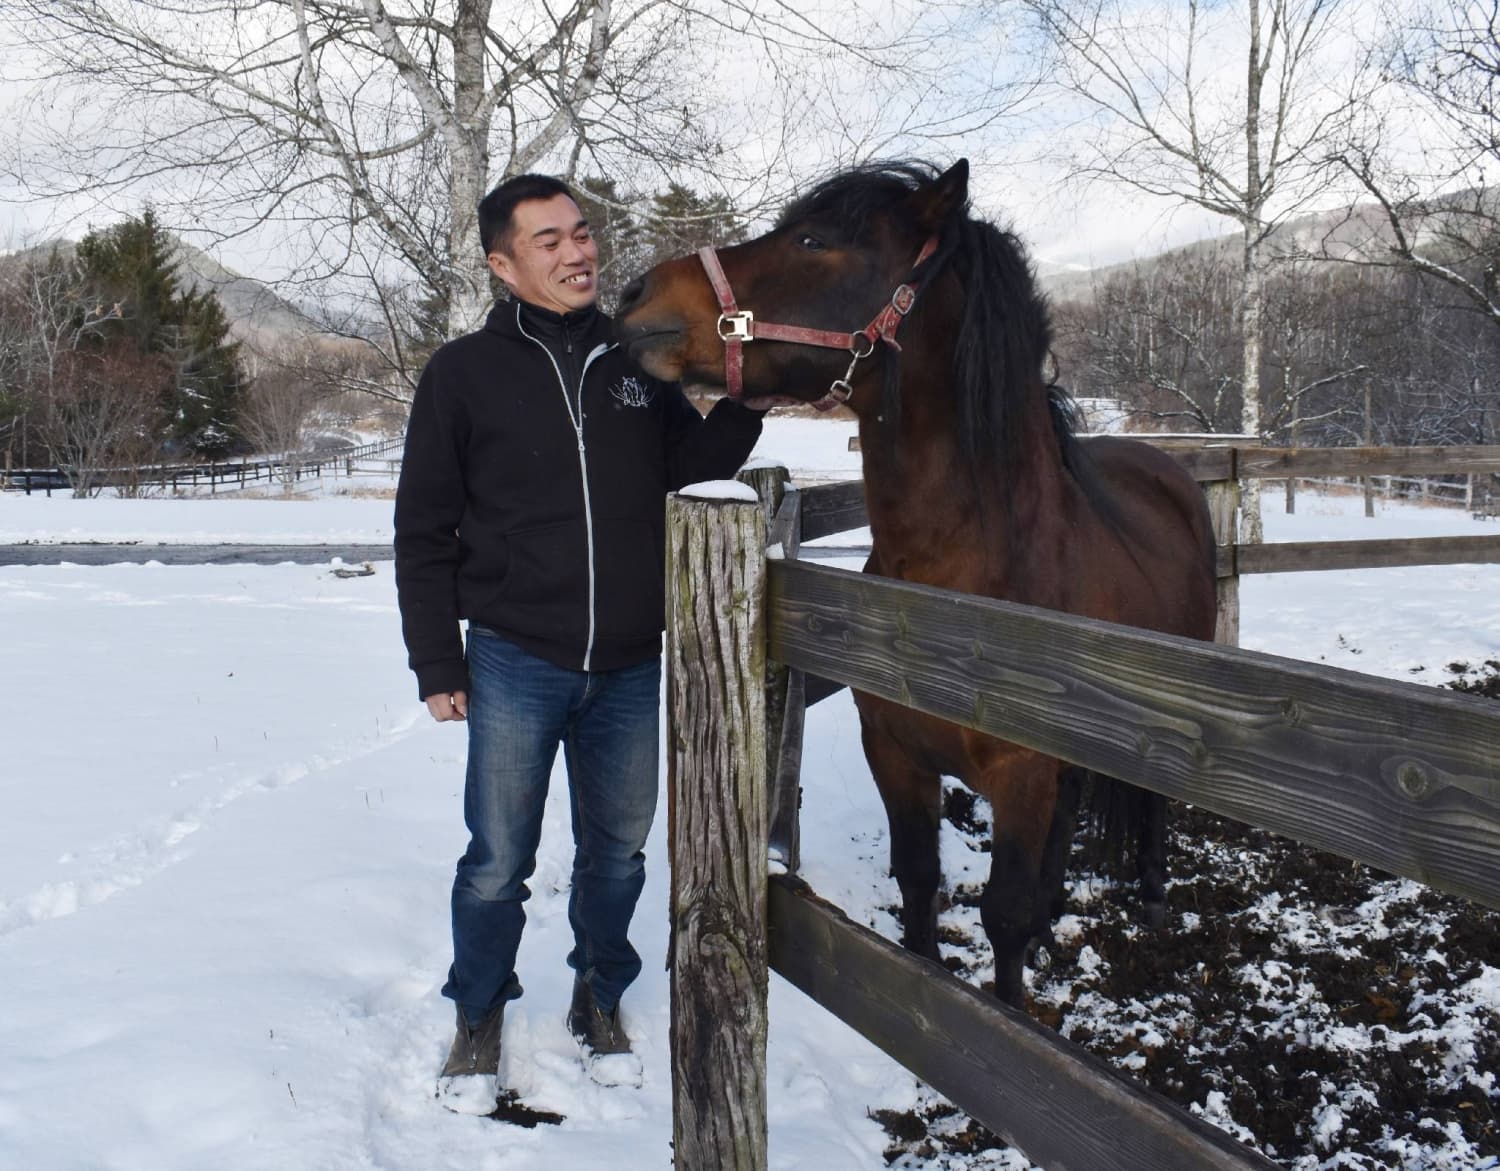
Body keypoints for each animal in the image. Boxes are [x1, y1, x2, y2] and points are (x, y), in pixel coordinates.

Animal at [614, 159, 1218, 1006]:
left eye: (814, 241)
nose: (635, 295)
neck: (955, 590)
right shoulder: (897, 755)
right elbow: (921, 885)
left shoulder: (1021, 774)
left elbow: (1002, 918)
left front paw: (1012, 1006)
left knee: (1152, 802)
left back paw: (1156, 896)